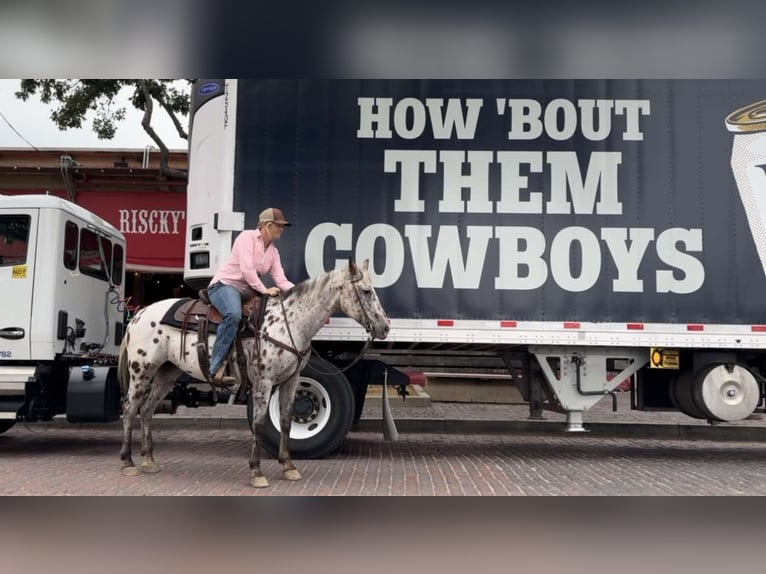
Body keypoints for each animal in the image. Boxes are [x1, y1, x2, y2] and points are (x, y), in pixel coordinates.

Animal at [117, 260, 392, 490]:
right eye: (366, 291)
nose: (385, 326)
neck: (289, 324)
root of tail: (139, 314)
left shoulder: (291, 380)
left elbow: (285, 421)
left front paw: (289, 466)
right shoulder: (264, 382)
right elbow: (259, 425)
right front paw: (257, 471)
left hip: (166, 372)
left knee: (147, 409)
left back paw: (149, 460)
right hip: (142, 369)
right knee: (130, 408)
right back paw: (128, 462)